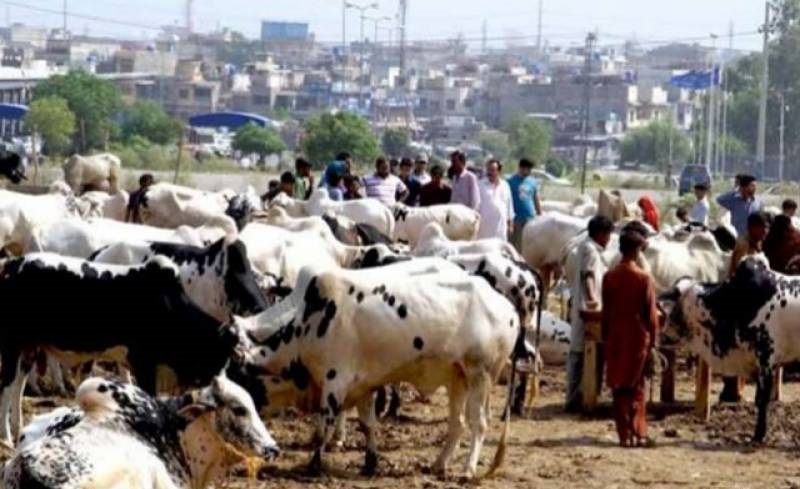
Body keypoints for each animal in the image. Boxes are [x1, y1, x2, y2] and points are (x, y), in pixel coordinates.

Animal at [0, 253, 242, 445]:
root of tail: (15, 263)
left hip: (29, 348)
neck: (171, 306)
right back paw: (6, 438)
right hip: (13, 343)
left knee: (18, 386)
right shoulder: (144, 363)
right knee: (7, 387)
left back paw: (18, 429)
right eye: (220, 358)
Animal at [236, 261, 518, 478]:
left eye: (241, 380)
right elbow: (367, 424)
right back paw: (439, 464)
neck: (307, 324)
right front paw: (370, 463)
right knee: (457, 424)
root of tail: (508, 307)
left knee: (478, 424)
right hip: (457, 378)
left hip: (480, 375)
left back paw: (468, 469)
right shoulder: (363, 386)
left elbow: (325, 427)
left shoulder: (334, 382)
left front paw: (314, 464)